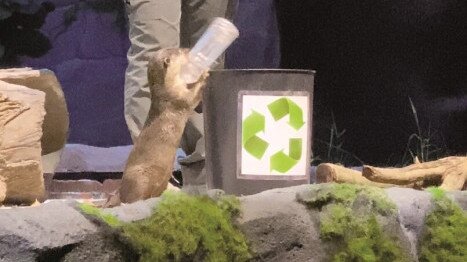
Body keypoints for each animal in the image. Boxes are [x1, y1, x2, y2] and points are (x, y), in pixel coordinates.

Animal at [118, 48, 209, 204]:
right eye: (179, 51)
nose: (187, 49)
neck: (167, 89)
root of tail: (117, 192)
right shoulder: (176, 97)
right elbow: (192, 97)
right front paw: (204, 74)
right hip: (140, 176)